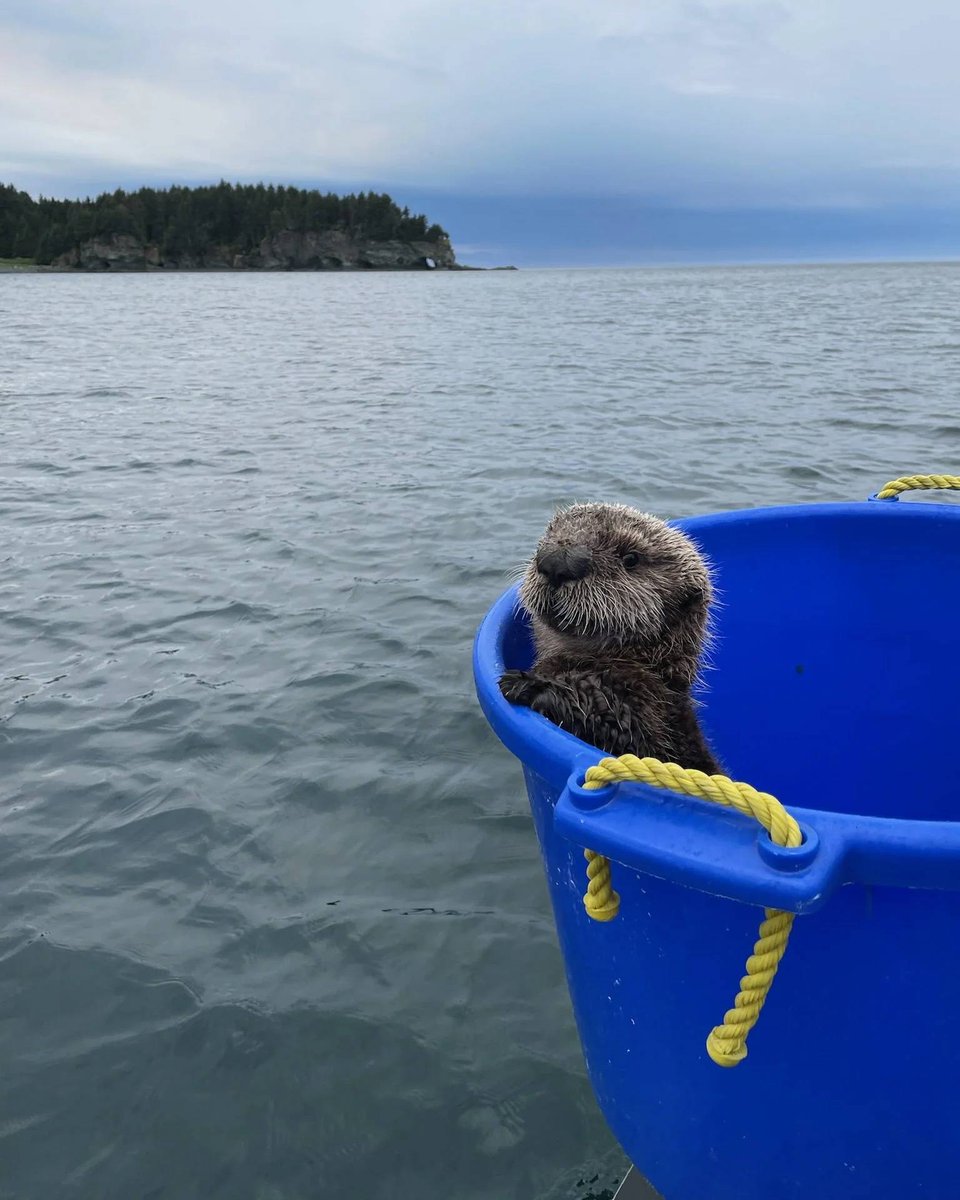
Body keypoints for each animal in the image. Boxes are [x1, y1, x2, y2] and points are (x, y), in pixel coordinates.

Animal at [498, 502, 721, 773]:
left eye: (630, 558)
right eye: (551, 531)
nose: (558, 561)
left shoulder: (648, 705)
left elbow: (620, 726)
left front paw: (533, 685)